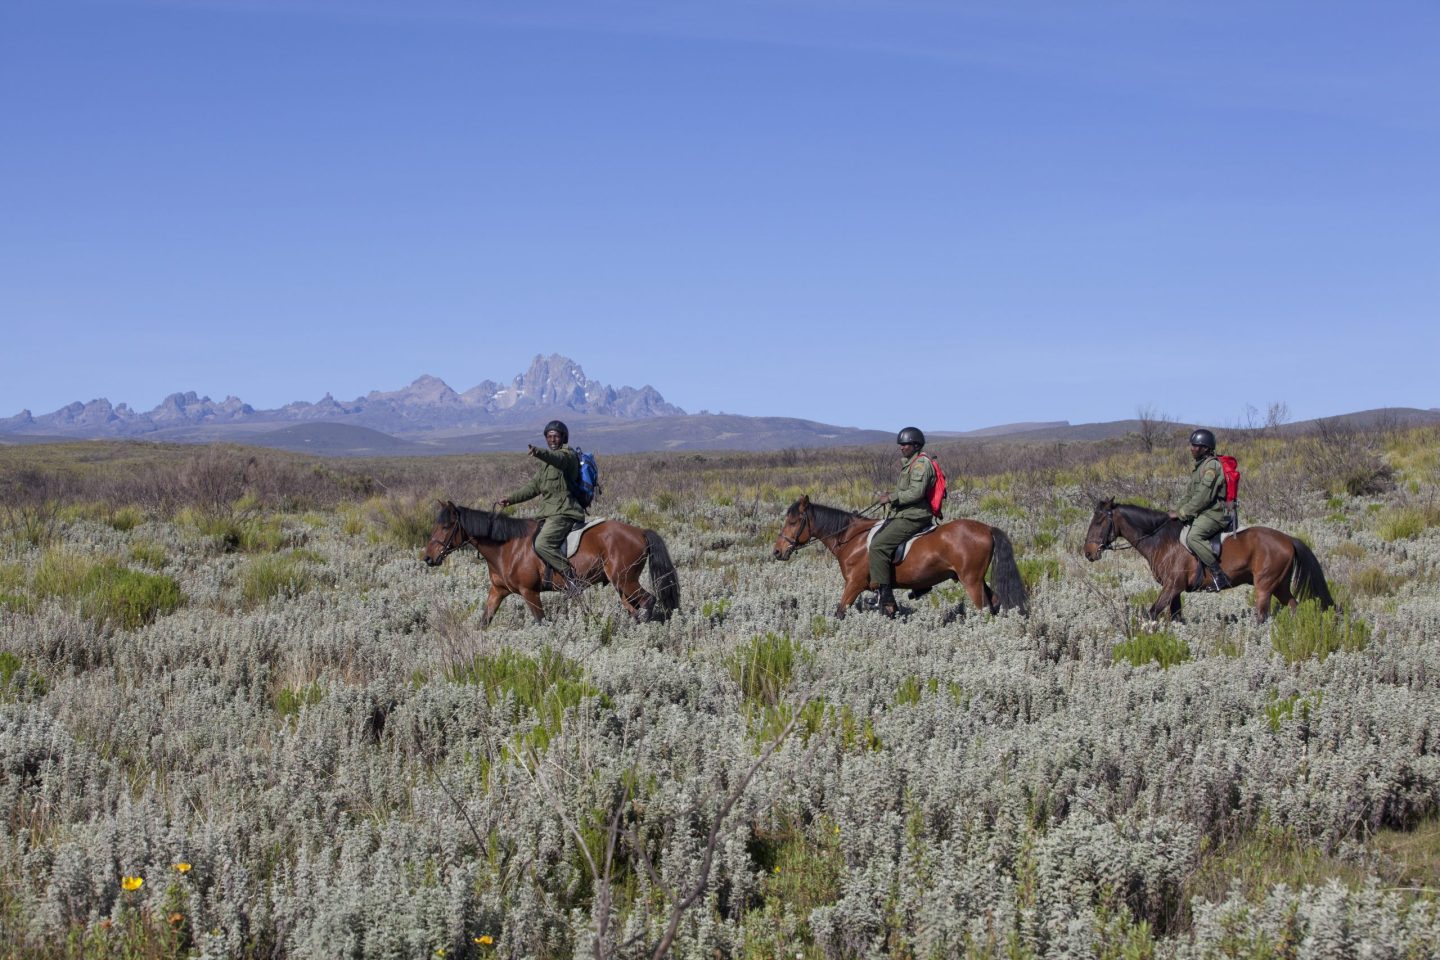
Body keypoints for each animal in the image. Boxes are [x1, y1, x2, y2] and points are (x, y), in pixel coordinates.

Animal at [420, 500, 679, 627]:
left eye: (446, 526)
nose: (428, 557)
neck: (506, 547)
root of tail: (640, 532)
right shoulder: (498, 591)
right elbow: (484, 621)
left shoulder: (530, 592)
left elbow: (541, 622)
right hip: (621, 585)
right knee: (634, 608)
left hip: (625, 580)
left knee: (648, 601)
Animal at [771, 500, 1031, 618]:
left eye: (793, 521)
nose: (777, 551)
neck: (851, 539)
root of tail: (987, 528)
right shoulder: (883, 591)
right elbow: (890, 611)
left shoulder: (854, 584)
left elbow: (840, 611)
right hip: (977, 580)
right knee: (995, 602)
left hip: (971, 581)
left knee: (984, 607)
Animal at [1082, 495, 1330, 624]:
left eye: (1099, 521)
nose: (1088, 552)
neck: (1161, 540)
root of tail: (1288, 539)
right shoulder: (1175, 591)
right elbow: (1176, 618)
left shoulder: (1171, 587)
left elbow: (1151, 613)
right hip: (1279, 585)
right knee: (1293, 605)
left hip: (1265, 586)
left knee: (1262, 616)